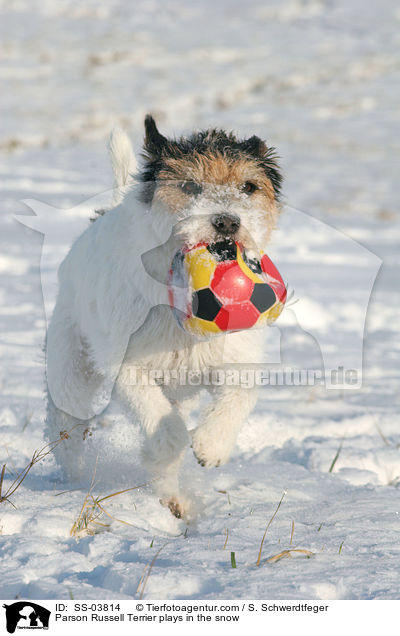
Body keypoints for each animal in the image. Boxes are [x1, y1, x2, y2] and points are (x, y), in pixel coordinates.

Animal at [46, 115, 282, 520]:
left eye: (248, 187)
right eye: (190, 185)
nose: (227, 222)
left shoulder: (234, 356)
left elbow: (239, 396)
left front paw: (211, 446)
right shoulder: (129, 367)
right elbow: (163, 424)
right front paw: (165, 449)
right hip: (71, 367)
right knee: (65, 420)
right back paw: (73, 472)